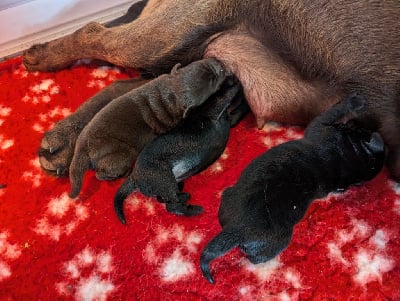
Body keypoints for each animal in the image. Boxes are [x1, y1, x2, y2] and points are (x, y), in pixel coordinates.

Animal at [23, 0, 400, 178]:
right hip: (166, 36)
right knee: (93, 33)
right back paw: (42, 57)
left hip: (188, 64)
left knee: (132, 88)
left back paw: (67, 139)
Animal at [67, 57, 227, 198]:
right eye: (213, 81)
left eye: (204, 63)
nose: (221, 64)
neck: (171, 93)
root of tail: (81, 148)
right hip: (121, 156)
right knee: (101, 174)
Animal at [113, 79, 247, 220]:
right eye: (220, 84)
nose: (234, 78)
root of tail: (133, 176)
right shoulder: (216, 109)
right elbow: (228, 102)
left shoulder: (229, 120)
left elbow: (237, 112)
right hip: (164, 178)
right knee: (172, 206)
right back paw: (194, 209)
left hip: (172, 183)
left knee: (166, 200)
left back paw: (185, 199)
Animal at [202, 92, 386, 282]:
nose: (357, 121)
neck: (348, 156)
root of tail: (237, 227)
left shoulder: (320, 125)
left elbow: (333, 110)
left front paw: (355, 101)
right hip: (229, 197)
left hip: (275, 241)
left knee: (254, 257)